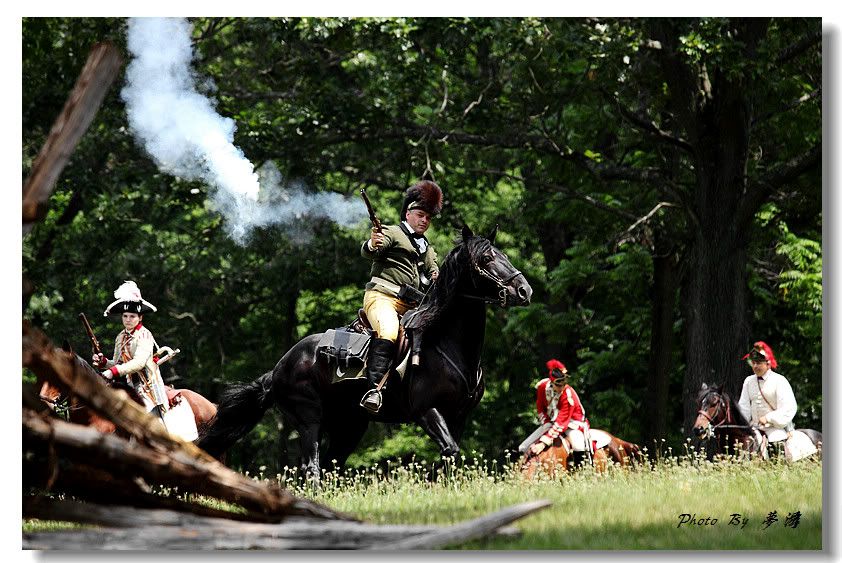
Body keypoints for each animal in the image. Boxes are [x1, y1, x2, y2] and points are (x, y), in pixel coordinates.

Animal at [197, 225, 532, 484]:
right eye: (486, 259)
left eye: (503, 254)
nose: (524, 291)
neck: (446, 343)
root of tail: (280, 367)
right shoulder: (427, 411)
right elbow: (449, 451)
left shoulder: (458, 416)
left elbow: (449, 457)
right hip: (309, 420)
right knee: (312, 467)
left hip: (349, 426)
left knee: (329, 465)